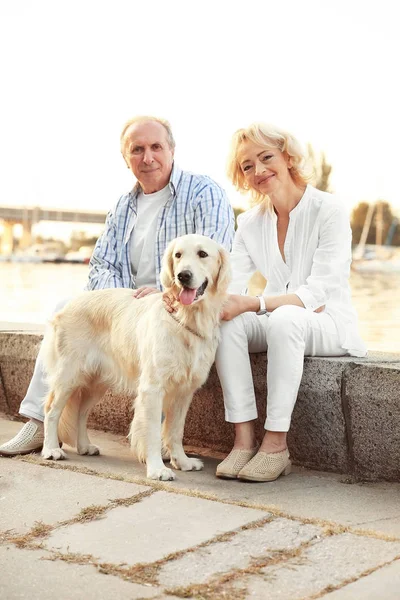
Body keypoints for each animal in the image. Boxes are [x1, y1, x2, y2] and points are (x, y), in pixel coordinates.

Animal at [41, 233, 230, 478]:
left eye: (203, 254)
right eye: (178, 255)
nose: (183, 276)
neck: (185, 318)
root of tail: (69, 305)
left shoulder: (185, 391)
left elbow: (175, 431)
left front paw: (183, 461)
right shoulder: (152, 388)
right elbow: (152, 432)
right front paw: (158, 469)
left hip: (96, 381)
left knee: (81, 413)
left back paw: (84, 446)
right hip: (69, 374)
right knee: (51, 410)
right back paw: (50, 449)